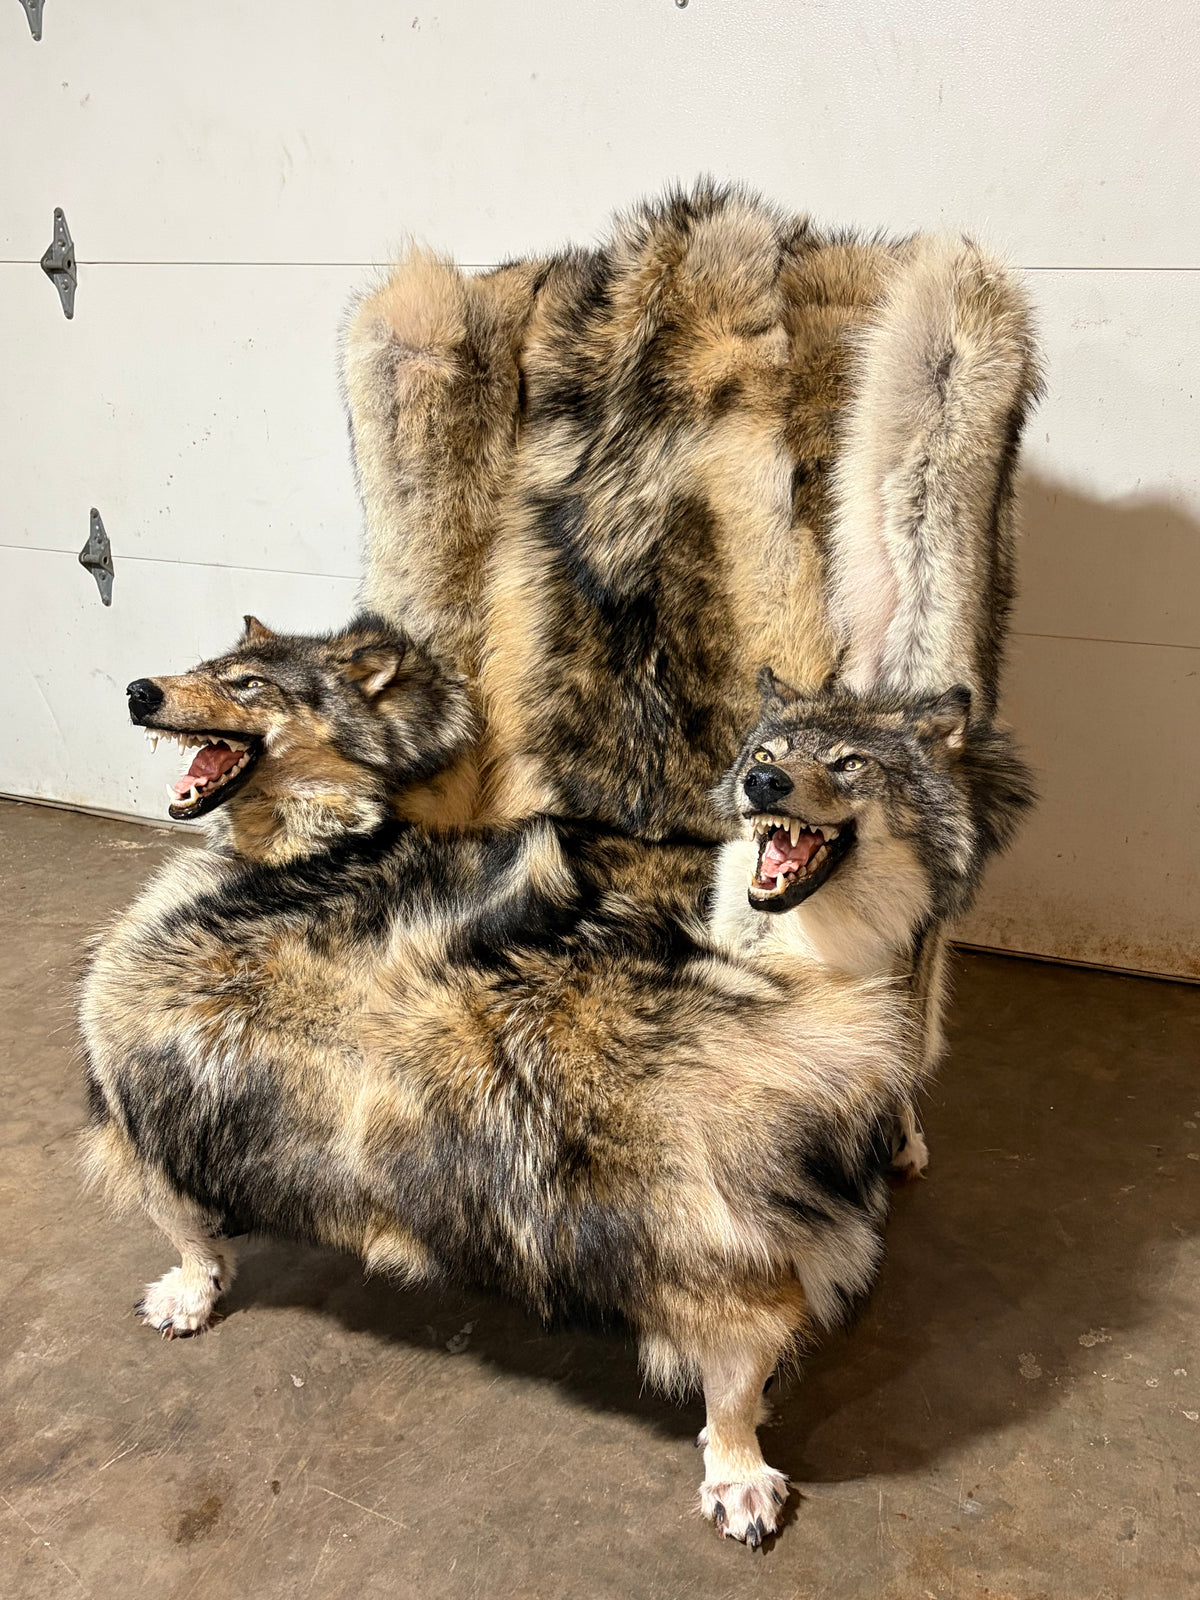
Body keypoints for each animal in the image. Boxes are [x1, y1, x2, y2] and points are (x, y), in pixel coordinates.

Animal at [80, 614, 1030, 1546]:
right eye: (767, 751)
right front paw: (193, 1283)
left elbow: (737, 1374)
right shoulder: (130, 1082)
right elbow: (184, 1227)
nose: (139, 691)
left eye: (850, 762)